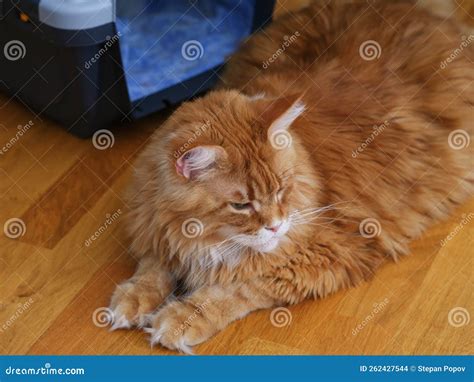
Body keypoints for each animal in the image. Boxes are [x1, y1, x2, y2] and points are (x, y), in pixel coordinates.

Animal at [108, 0, 474, 352]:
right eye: (241, 206)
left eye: (282, 190)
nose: (275, 226)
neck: (208, 241)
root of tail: (413, 9)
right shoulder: (157, 227)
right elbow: (153, 267)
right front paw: (133, 299)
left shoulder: (325, 253)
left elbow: (236, 289)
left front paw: (181, 318)